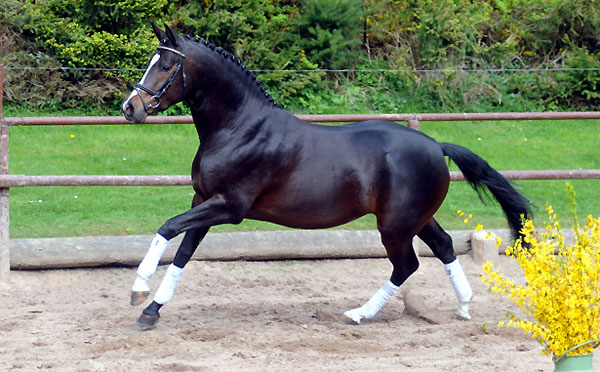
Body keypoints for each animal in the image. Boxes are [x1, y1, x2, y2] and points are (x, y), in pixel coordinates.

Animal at [120, 24, 528, 330]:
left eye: (166, 65)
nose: (130, 108)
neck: (239, 128)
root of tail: (436, 146)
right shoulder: (204, 200)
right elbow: (183, 252)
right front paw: (152, 311)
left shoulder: (229, 207)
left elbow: (167, 228)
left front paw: (138, 291)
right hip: (415, 218)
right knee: (443, 246)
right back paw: (463, 307)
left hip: (395, 225)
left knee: (406, 265)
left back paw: (359, 314)